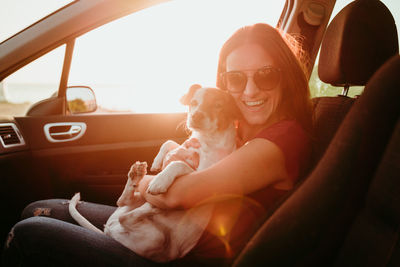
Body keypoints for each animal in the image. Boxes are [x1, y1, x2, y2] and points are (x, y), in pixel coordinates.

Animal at [69, 86, 241, 264]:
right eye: (194, 103)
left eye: (218, 105)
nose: (196, 115)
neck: (206, 139)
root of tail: (110, 232)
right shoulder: (185, 148)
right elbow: (169, 143)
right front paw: (158, 162)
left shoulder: (202, 173)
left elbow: (178, 163)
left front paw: (159, 181)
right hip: (137, 201)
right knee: (122, 201)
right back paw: (136, 176)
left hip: (156, 238)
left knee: (128, 216)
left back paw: (152, 207)